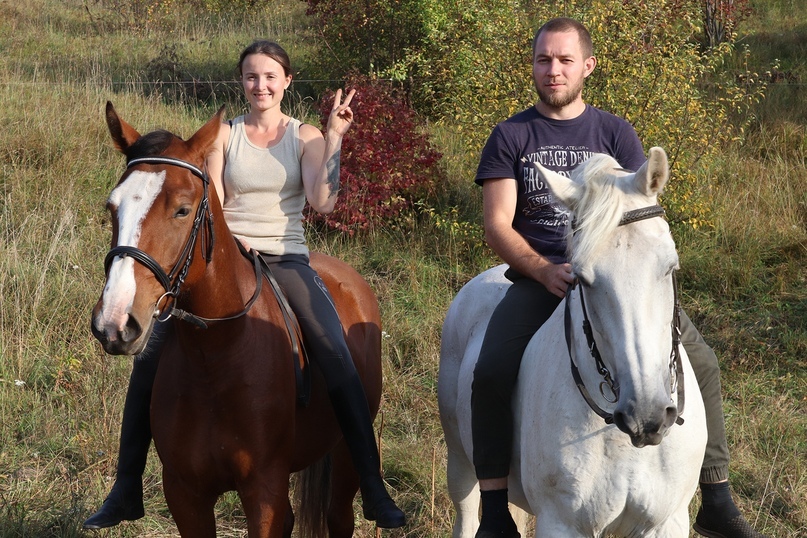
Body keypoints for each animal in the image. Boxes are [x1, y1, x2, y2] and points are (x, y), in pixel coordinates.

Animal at [91, 102, 382, 532]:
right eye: (112, 207)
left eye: (182, 210)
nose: (114, 321)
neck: (216, 355)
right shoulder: (185, 494)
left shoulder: (264, 492)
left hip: (346, 457)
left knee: (339, 514)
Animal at [442, 148, 708, 536]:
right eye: (581, 277)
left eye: (670, 268)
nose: (646, 416)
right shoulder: (562, 523)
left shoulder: (666, 522)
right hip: (460, 461)